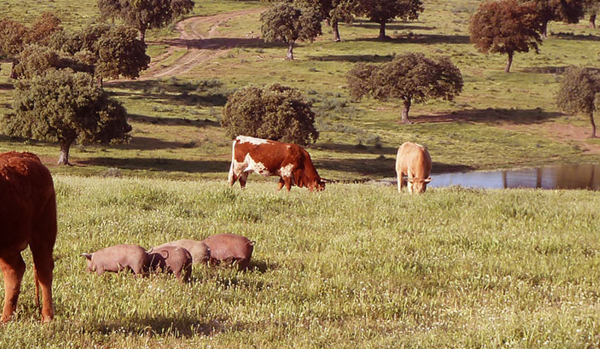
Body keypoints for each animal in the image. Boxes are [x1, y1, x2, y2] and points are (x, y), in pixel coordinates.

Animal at [0, 152, 56, 324]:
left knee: (44, 270)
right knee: (14, 270)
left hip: (44, 234)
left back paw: (47, 317)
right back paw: (5, 318)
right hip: (8, 245)